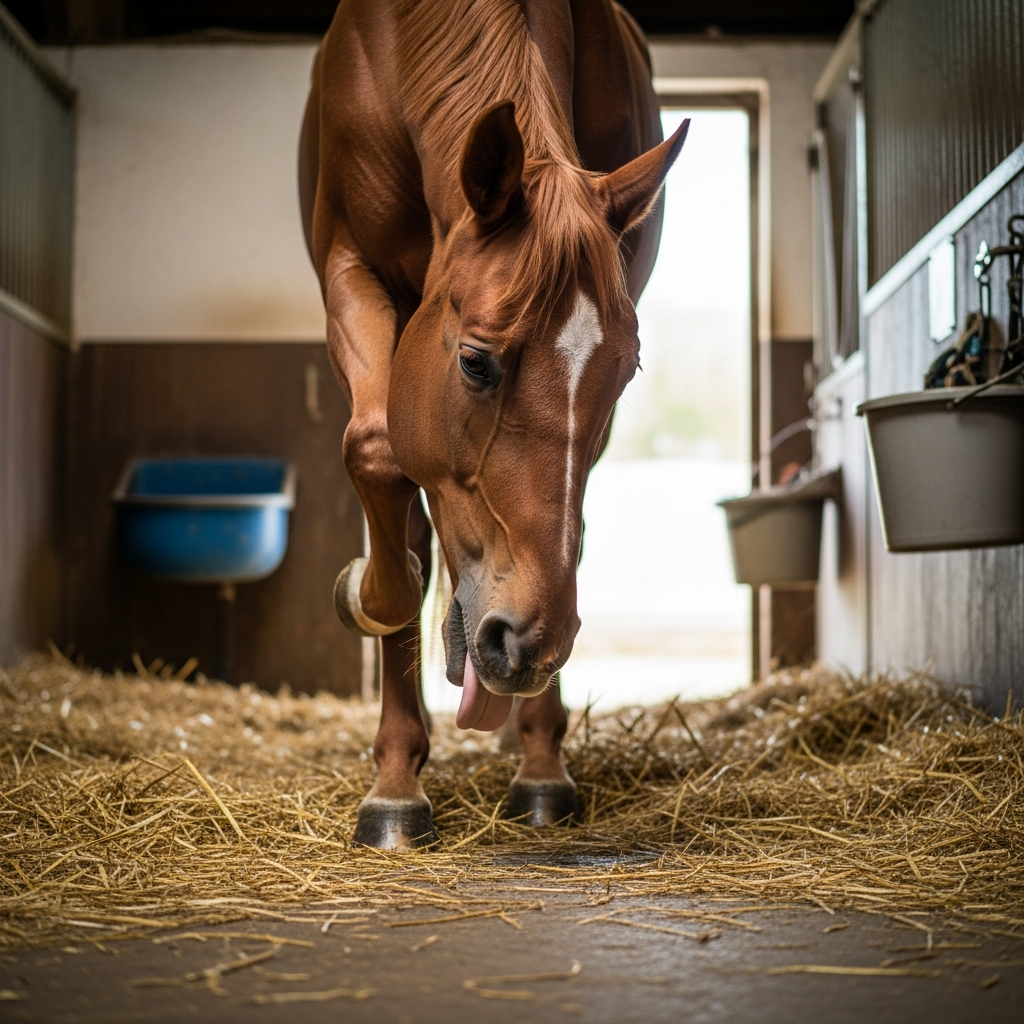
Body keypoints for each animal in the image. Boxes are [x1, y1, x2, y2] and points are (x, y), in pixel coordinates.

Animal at [299, 0, 688, 848]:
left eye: (625, 372)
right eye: (476, 362)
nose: (528, 642)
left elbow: (567, 525)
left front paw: (539, 753)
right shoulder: (348, 268)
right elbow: (378, 458)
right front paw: (395, 780)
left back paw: (535, 755)